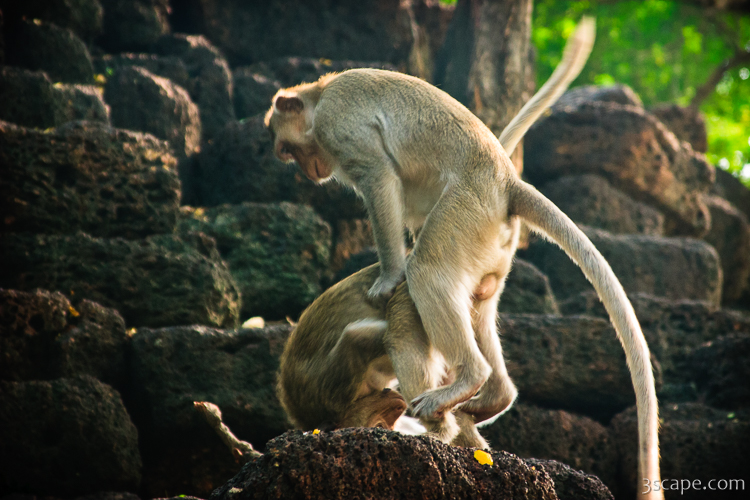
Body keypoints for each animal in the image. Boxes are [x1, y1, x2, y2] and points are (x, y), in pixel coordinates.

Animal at [268, 18, 662, 498]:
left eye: (289, 150)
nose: (310, 173)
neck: (321, 92)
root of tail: (508, 183)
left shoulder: (338, 125)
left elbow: (379, 177)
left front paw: (388, 276)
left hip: (468, 208)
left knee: (427, 273)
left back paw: (465, 381)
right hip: (489, 246)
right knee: (473, 304)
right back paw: (493, 397)